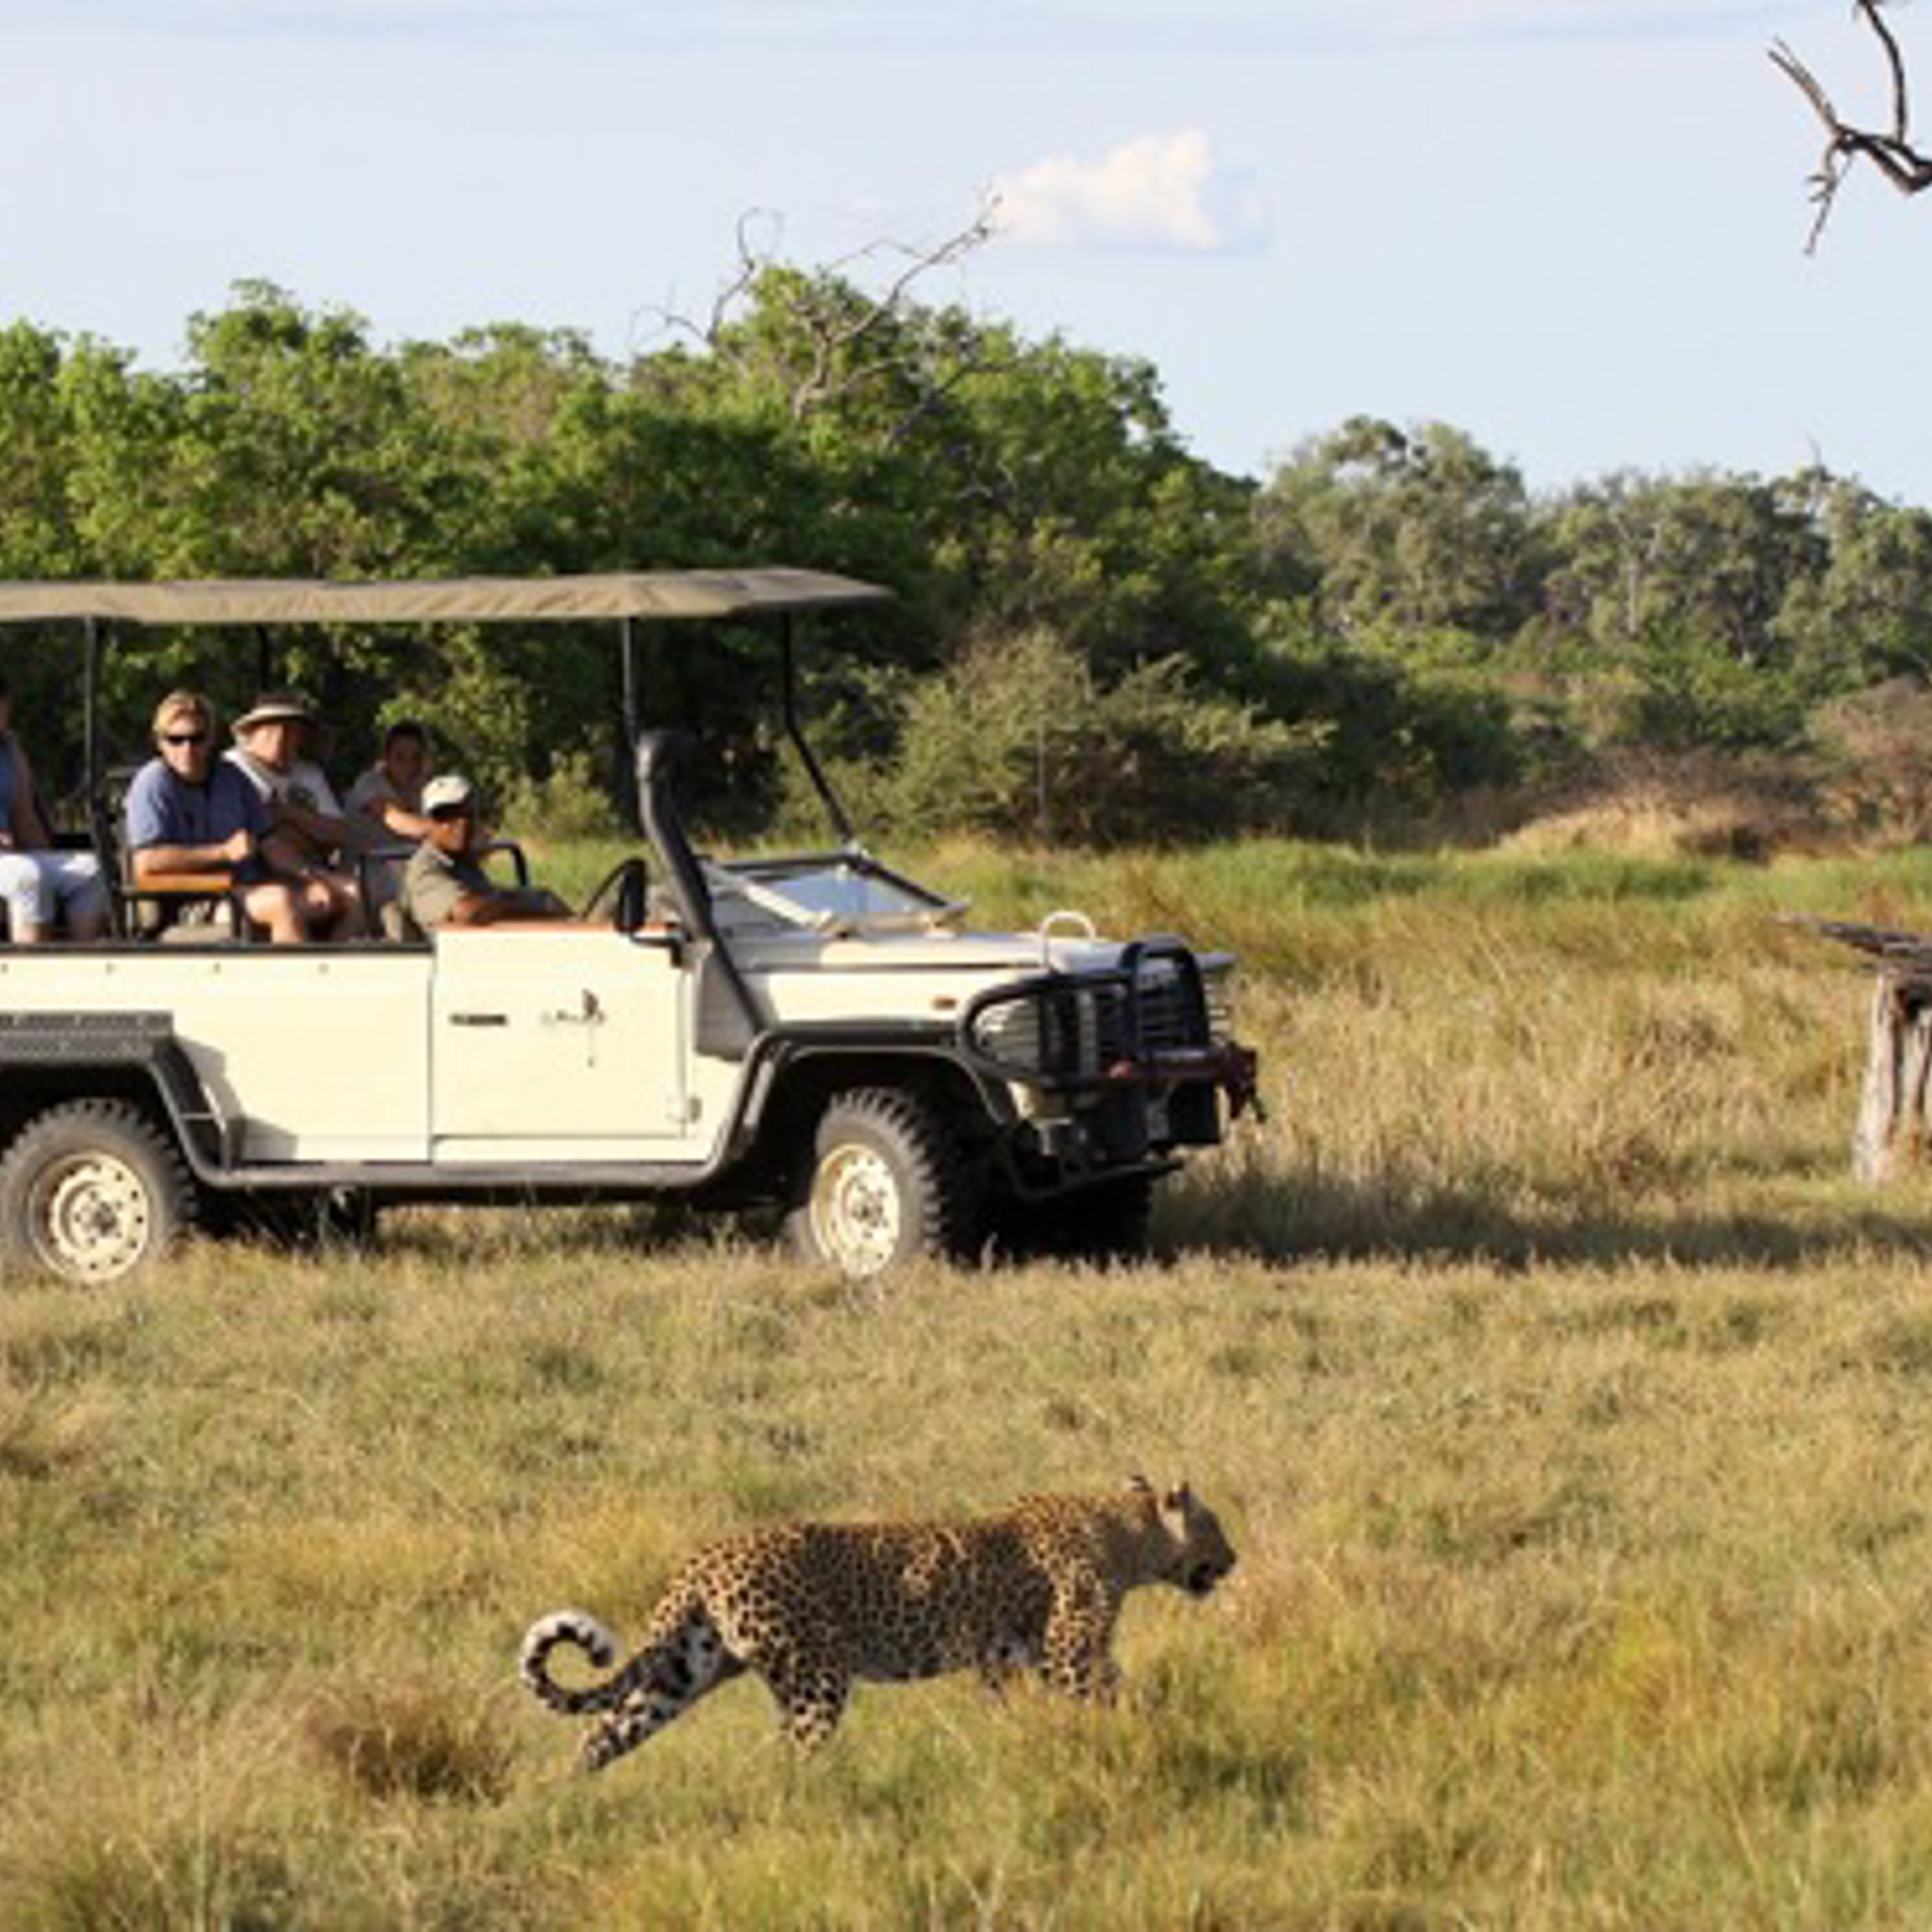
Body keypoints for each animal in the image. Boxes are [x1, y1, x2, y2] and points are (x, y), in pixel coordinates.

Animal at [519, 1475, 1235, 1771]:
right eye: (1217, 1525)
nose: (1234, 1559)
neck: (1127, 1534)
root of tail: (705, 1558)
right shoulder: (1072, 1655)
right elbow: (1127, 1698)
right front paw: (1171, 1731)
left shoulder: (1003, 1663)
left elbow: (1009, 1710)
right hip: (816, 1677)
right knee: (787, 1754)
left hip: (681, 1673)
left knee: (600, 1737)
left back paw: (560, 1804)